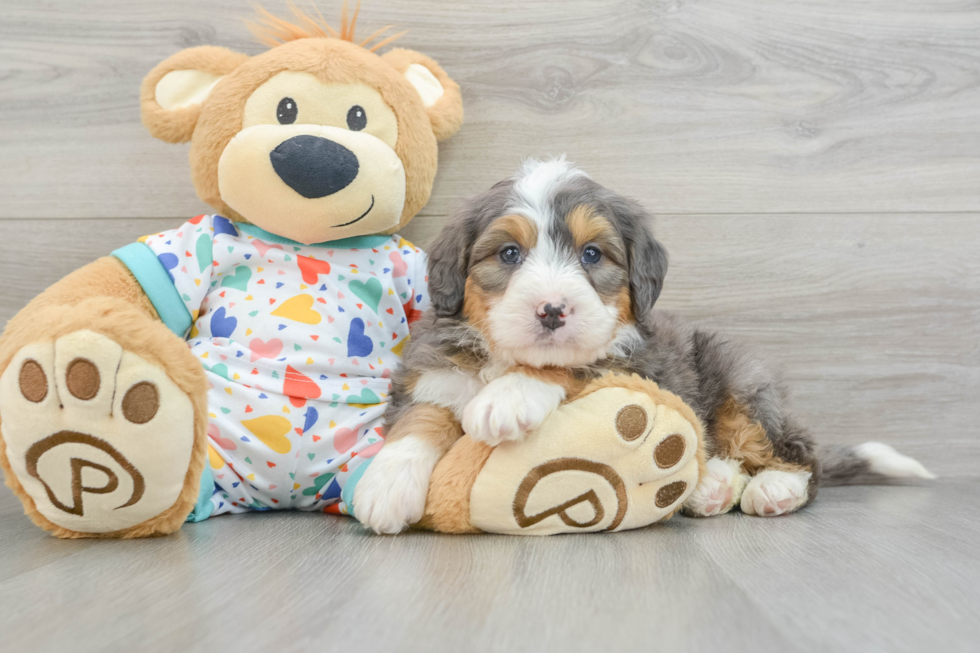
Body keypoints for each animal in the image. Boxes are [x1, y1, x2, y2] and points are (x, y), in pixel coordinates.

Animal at [354, 159, 936, 536]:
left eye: (592, 254)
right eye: (510, 253)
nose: (552, 310)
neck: (507, 358)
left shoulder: (638, 361)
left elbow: (577, 364)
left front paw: (509, 397)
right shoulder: (436, 368)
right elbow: (421, 417)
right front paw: (387, 483)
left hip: (741, 381)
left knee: (797, 453)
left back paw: (772, 489)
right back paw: (711, 486)